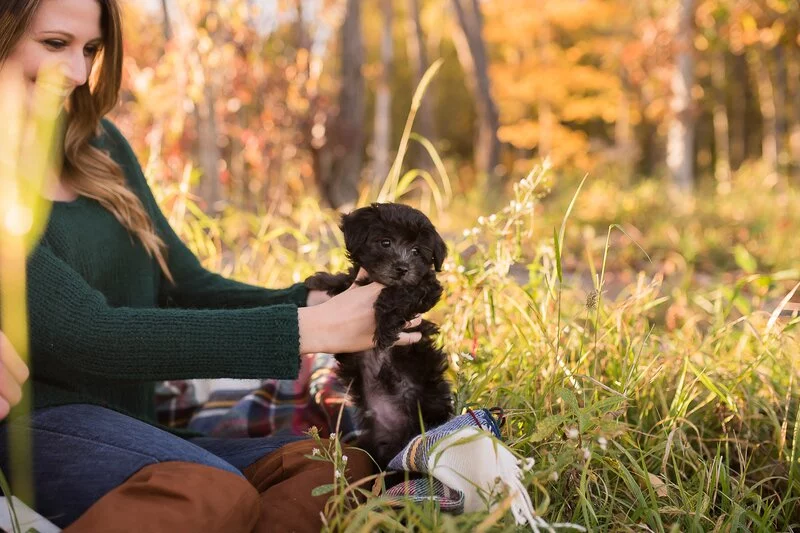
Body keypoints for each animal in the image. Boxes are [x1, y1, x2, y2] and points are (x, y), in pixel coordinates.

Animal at [306, 203, 454, 466]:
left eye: (416, 251)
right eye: (385, 242)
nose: (402, 268)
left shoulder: (426, 288)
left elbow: (399, 293)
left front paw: (384, 328)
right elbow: (347, 279)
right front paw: (322, 279)